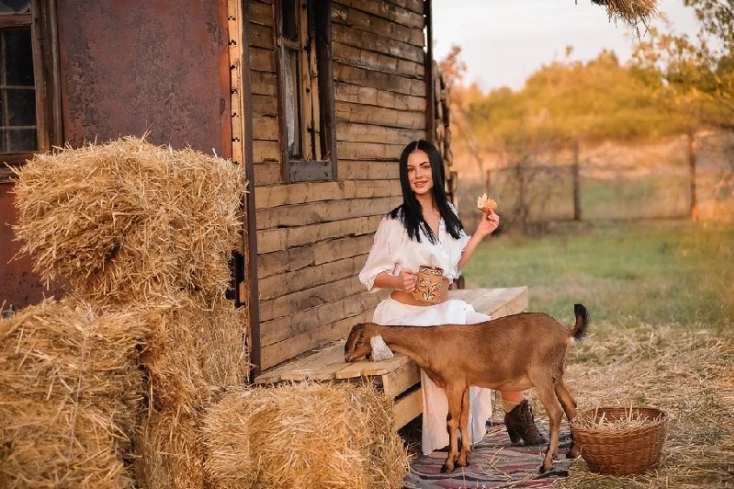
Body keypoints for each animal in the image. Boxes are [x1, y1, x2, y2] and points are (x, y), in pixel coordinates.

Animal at [346, 304, 592, 470]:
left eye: (359, 340)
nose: (348, 357)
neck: (430, 344)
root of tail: (565, 332)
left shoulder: (453, 384)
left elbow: (450, 421)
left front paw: (448, 463)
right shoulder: (463, 385)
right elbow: (463, 419)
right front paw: (463, 459)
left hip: (541, 377)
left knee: (556, 412)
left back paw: (547, 463)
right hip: (556, 376)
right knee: (570, 405)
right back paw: (573, 451)